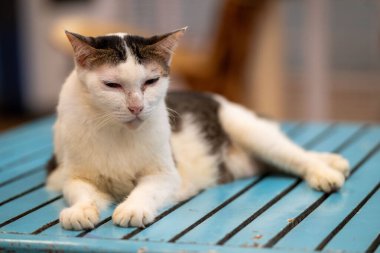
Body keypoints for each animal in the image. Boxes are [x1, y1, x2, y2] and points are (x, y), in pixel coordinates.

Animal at [46, 28, 348, 231]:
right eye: (112, 85)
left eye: (151, 81)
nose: (136, 107)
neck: (117, 130)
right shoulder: (69, 176)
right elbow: (81, 192)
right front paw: (80, 210)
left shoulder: (166, 175)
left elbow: (145, 190)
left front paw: (133, 207)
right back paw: (332, 162)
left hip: (253, 133)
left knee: (298, 155)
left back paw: (326, 172)